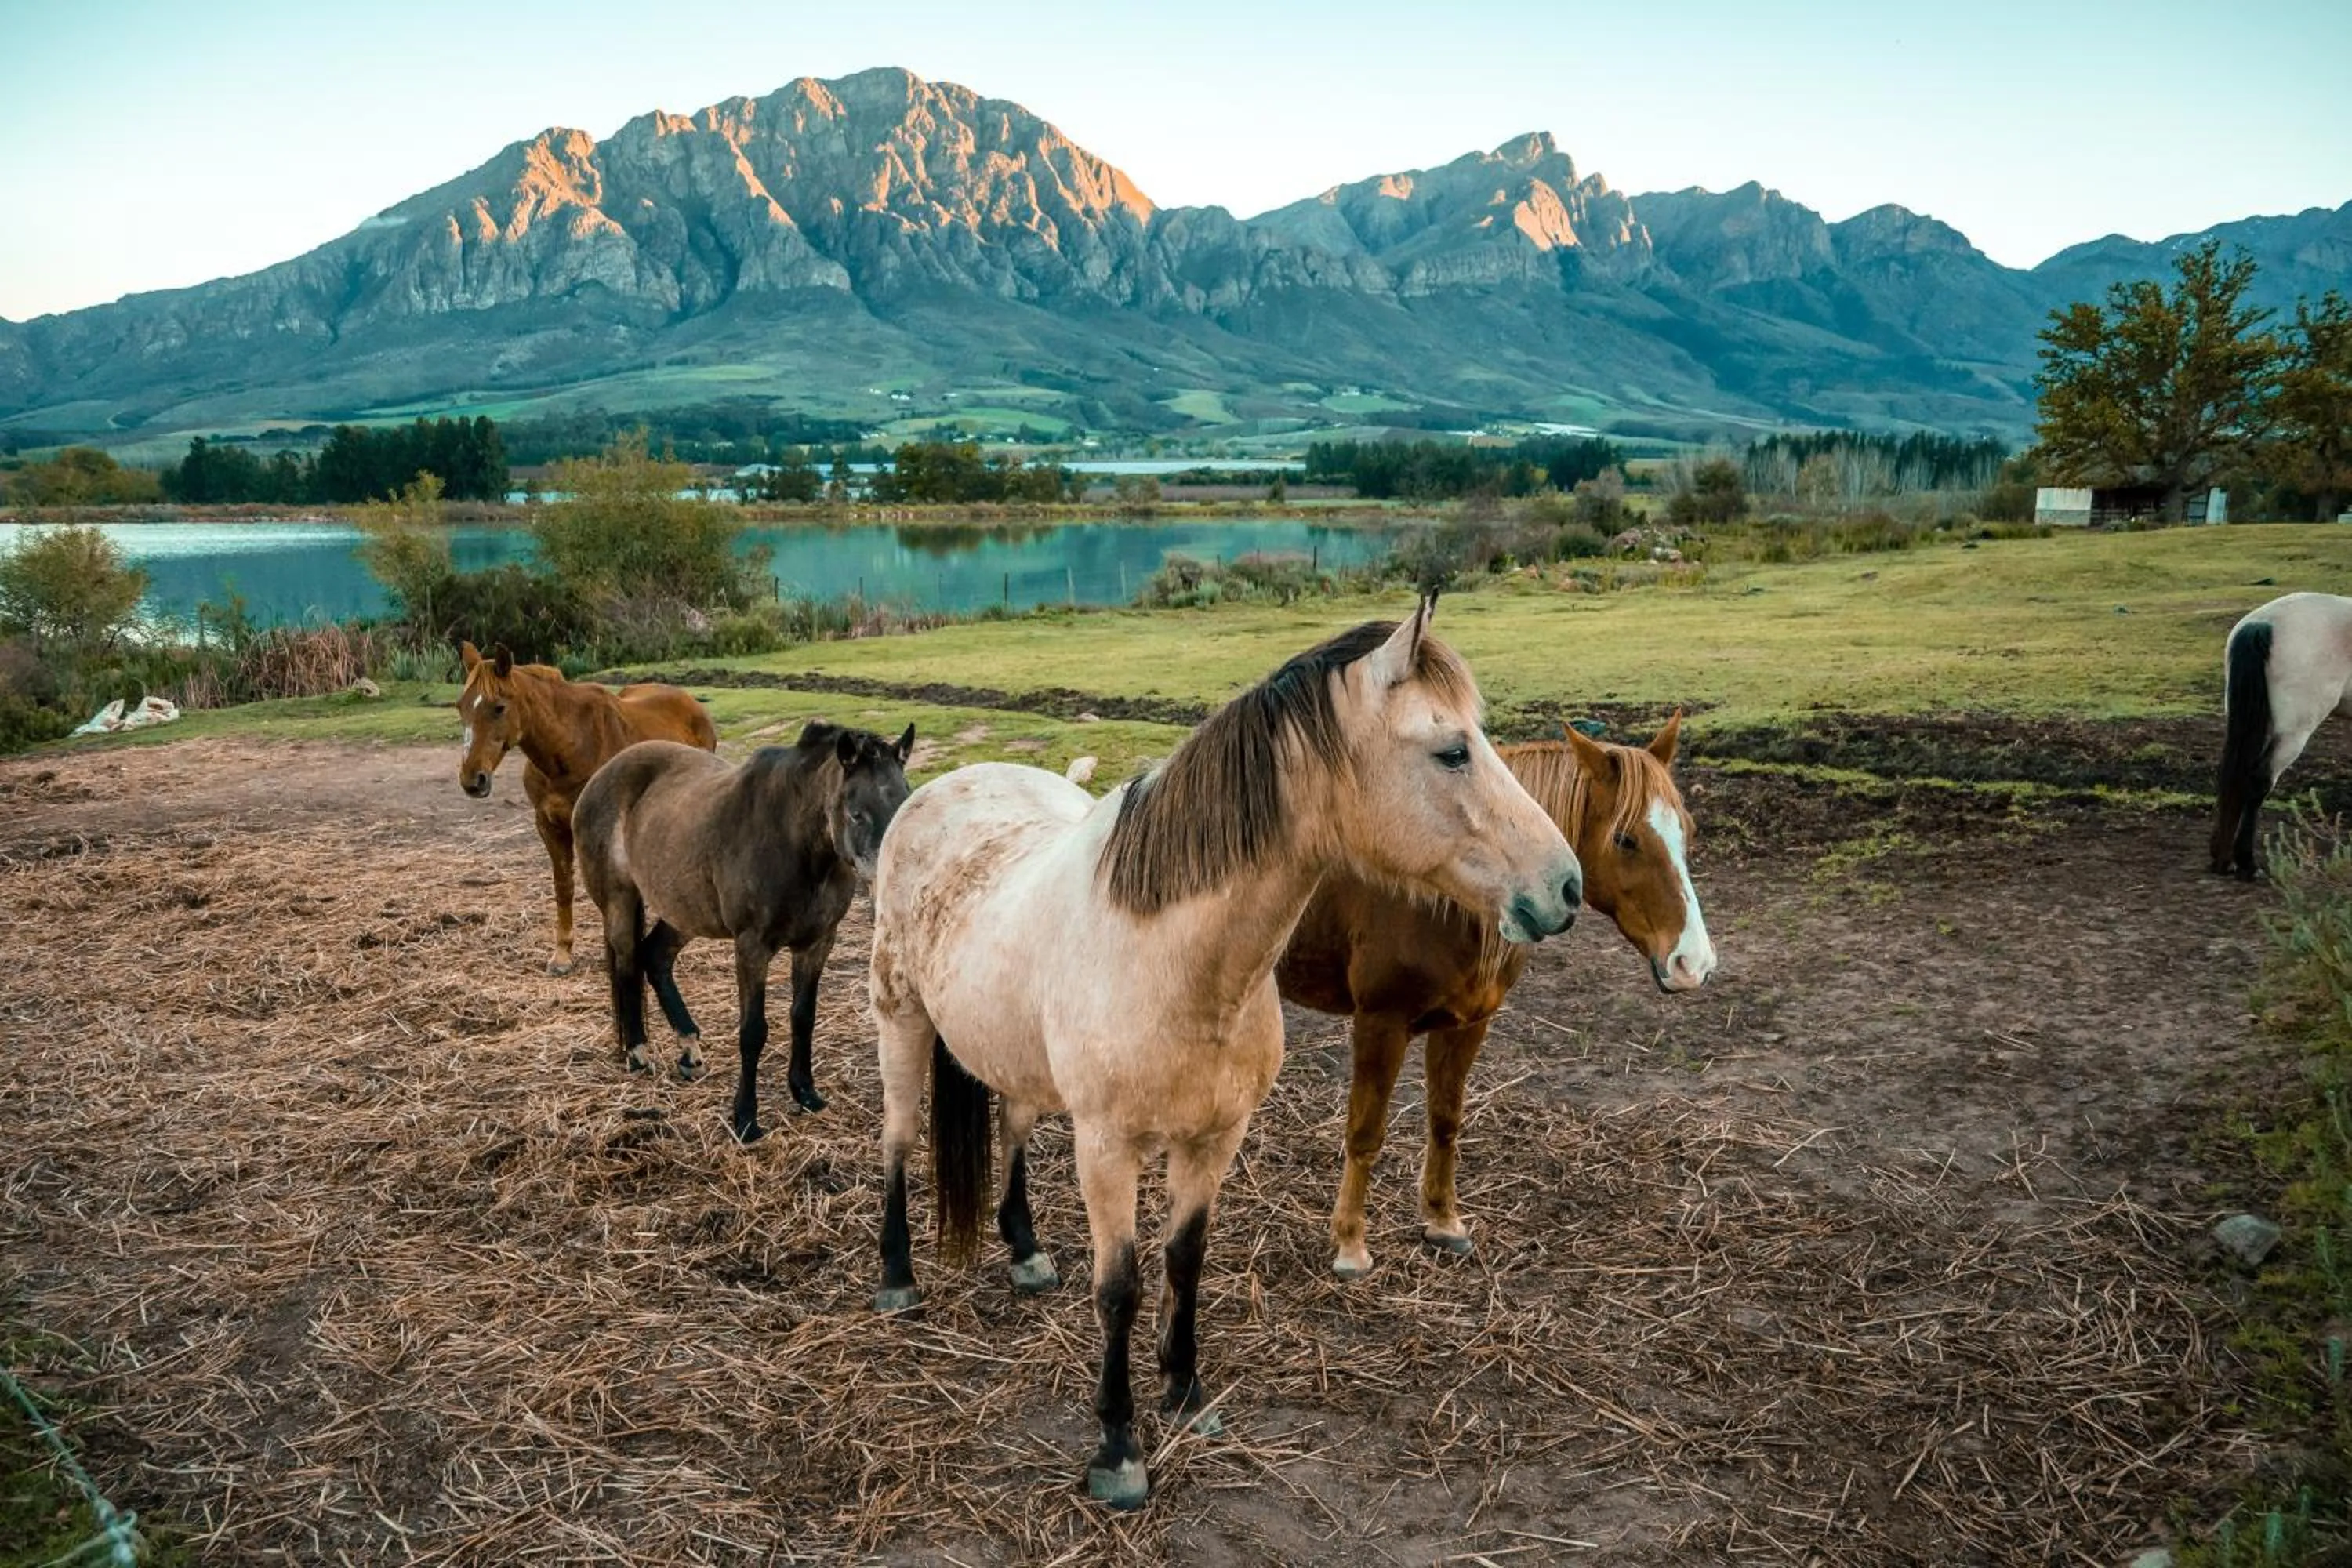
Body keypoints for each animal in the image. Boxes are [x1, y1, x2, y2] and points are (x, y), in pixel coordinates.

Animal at [455, 641, 717, 973]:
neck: (570, 746)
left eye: (499, 707)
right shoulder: (549, 825)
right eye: (460, 706)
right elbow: (563, 886)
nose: (472, 780)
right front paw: (562, 955)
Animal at [573, 722, 914, 1143]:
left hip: (685, 911)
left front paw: (805, 1092)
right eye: (856, 814)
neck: (795, 844)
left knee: (655, 956)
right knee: (626, 964)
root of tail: (605, 773)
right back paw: (638, 1053)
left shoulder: (817, 945)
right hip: (619, 902)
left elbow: (804, 1017)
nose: (893, 881)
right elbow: (753, 1031)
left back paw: (689, 1049)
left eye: (907, 803)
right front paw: (746, 1118)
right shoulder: (752, 947)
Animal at [865, 598, 1584, 1509]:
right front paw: (1118, 1448)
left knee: (1014, 1124)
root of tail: (937, 788)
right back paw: (897, 1279)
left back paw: (1025, 1255)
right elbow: (1120, 1287)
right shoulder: (1108, 1147)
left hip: (1011, 1053)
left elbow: (1186, 1258)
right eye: (1452, 748)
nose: (1566, 888)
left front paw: (1186, 1392)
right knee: (897, 1137)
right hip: (900, 1020)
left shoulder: (1215, 1137)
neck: (1177, 960)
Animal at [1277, 718, 1716, 1278]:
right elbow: (1365, 1132)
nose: (1693, 963)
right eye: (1626, 839)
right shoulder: (1380, 1023)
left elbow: (1445, 1120)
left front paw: (1443, 1221)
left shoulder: (1468, 1023)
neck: (1446, 894)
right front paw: (1351, 1245)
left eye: (1690, 831)